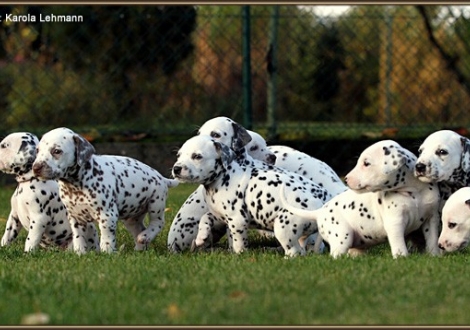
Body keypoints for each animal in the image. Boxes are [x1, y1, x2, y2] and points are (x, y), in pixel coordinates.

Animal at [31, 127, 178, 254]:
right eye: (37, 150)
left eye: (56, 151)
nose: (35, 167)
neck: (75, 185)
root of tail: (162, 178)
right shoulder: (75, 217)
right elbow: (78, 237)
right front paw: (80, 252)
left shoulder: (107, 215)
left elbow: (106, 236)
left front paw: (107, 252)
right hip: (131, 218)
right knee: (139, 230)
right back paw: (139, 246)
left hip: (156, 203)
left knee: (158, 222)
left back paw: (146, 235)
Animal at [172, 134, 330, 258]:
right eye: (178, 155)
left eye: (197, 156)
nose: (176, 168)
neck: (223, 177)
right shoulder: (220, 215)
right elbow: (206, 217)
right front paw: (201, 237)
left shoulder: (237, 220)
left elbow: (238, 242)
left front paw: (239, 254)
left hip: (283, 228)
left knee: (294, 252)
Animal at [276, 139, 440, 258]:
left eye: (366, 163)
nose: (346, 179)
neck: (414, 193)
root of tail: (319, 212)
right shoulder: (395, 222)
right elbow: (398, 242)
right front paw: (401, 257)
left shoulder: (431, 219)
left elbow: (432, 239)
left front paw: (434, 255)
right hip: (342, 235)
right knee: (335, 255)